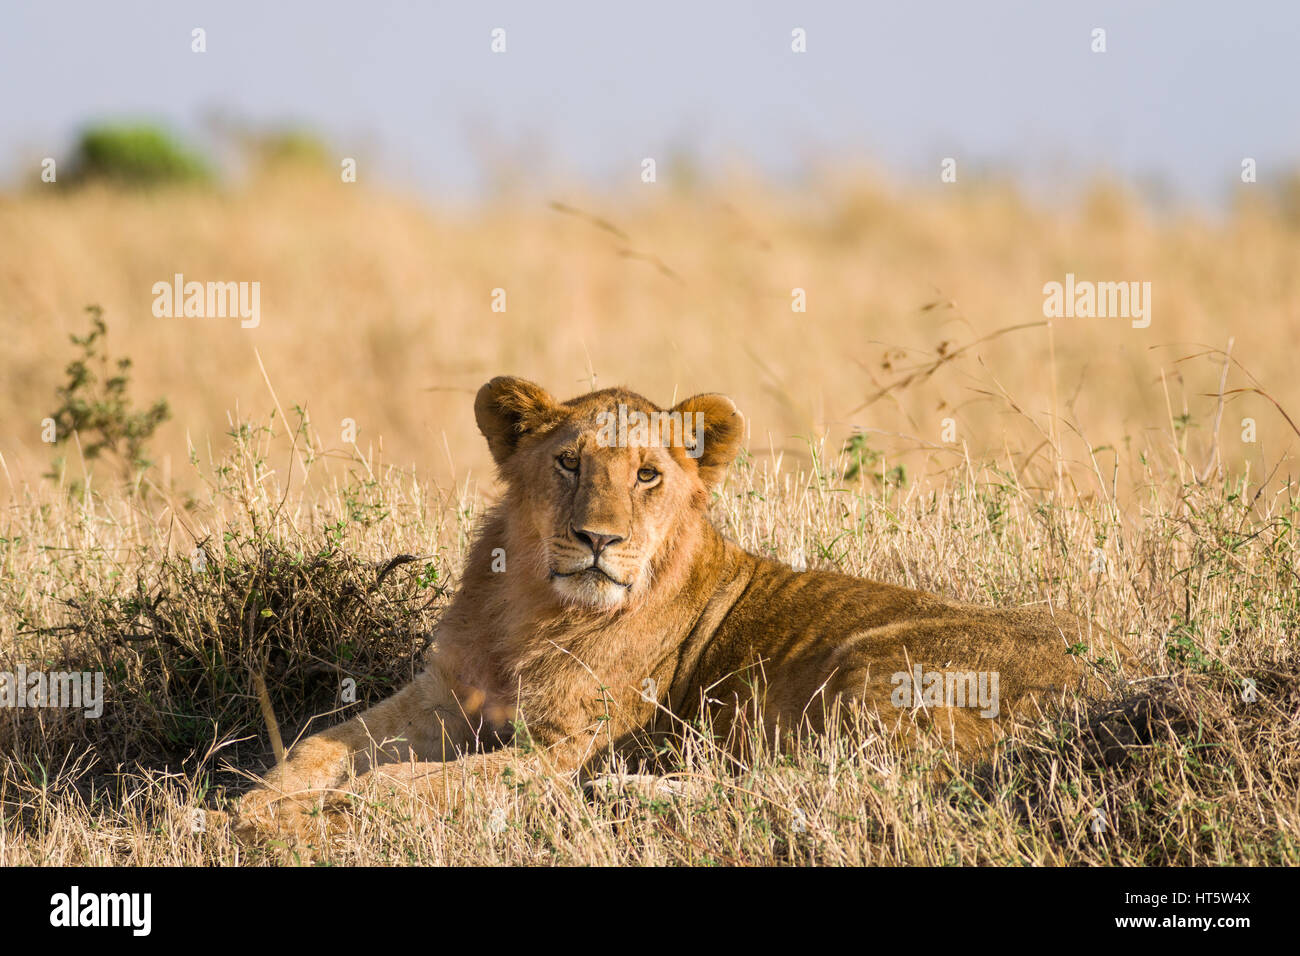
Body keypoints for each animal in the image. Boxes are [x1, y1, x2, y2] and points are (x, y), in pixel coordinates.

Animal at [231, 374, 1128, 837]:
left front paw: (300, 819)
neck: (530, 603)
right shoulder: (443, 697)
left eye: (648, 476)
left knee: (837, 788)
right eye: (568, 462)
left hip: (870, 663)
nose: (597, 539)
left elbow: (406, 785)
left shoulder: (563, 746)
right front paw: (253, 801)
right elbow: (322, 744)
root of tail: (1101, 689)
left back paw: (629, 793)